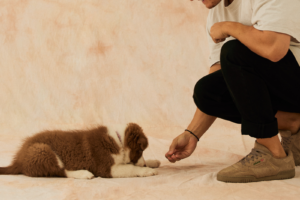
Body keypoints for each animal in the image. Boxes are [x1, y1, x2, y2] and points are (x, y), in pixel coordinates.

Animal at [0, 122, 161, 179]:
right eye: (140, 151)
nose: (144, 164)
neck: (118, 140)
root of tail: (18, 160)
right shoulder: (105, 167)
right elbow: (130, 168)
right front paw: (146, 170)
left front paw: (152, 162)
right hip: (42, 151)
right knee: (61, 171)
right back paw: (83, 173)